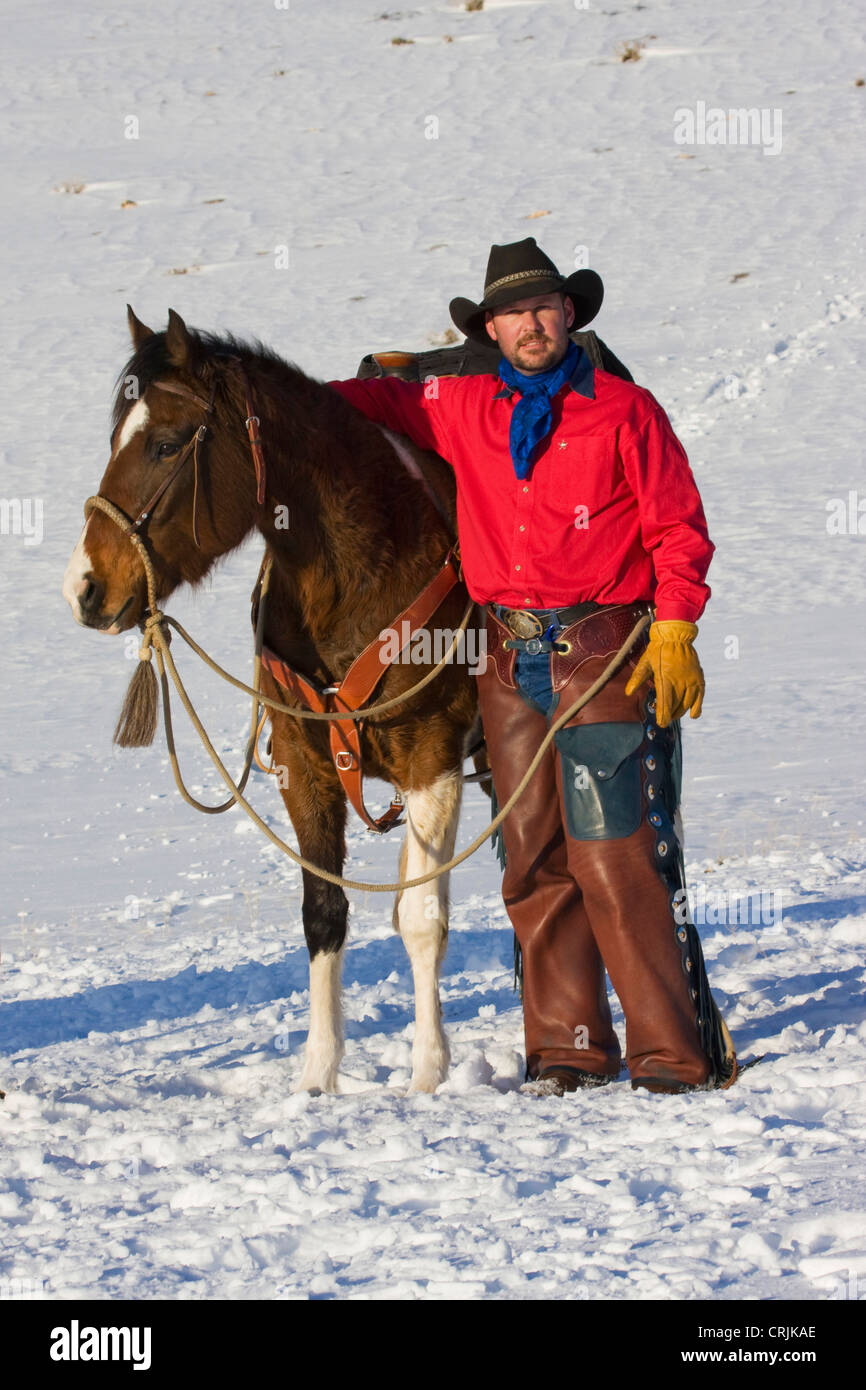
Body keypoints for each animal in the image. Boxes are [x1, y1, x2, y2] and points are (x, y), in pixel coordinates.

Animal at [65, 307, 489, 1095]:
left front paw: (428, 1071)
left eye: (165, 444)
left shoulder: (432, 756)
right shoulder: (304, 761)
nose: (83, 586)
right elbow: (323, 913)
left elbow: (421, 917)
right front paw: (318, 1076)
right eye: (114, 440)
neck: (359, 573)